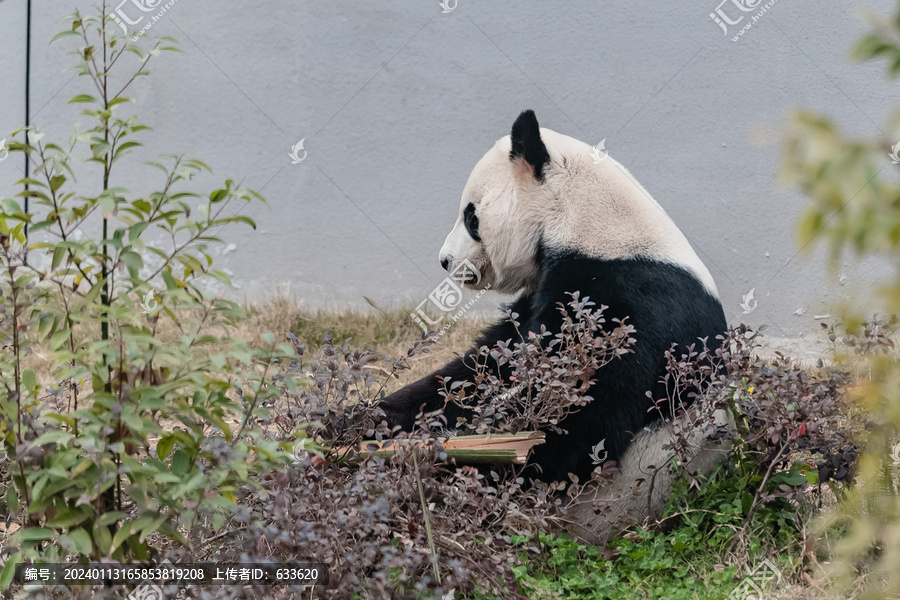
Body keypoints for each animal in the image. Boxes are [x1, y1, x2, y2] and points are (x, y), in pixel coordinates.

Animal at [382, 109, 732, 502]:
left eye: (471, 217)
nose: (445, 261)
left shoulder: (629, 297)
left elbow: (579, 416)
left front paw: (451, 459)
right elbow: (487, 364)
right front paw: (376, 417)